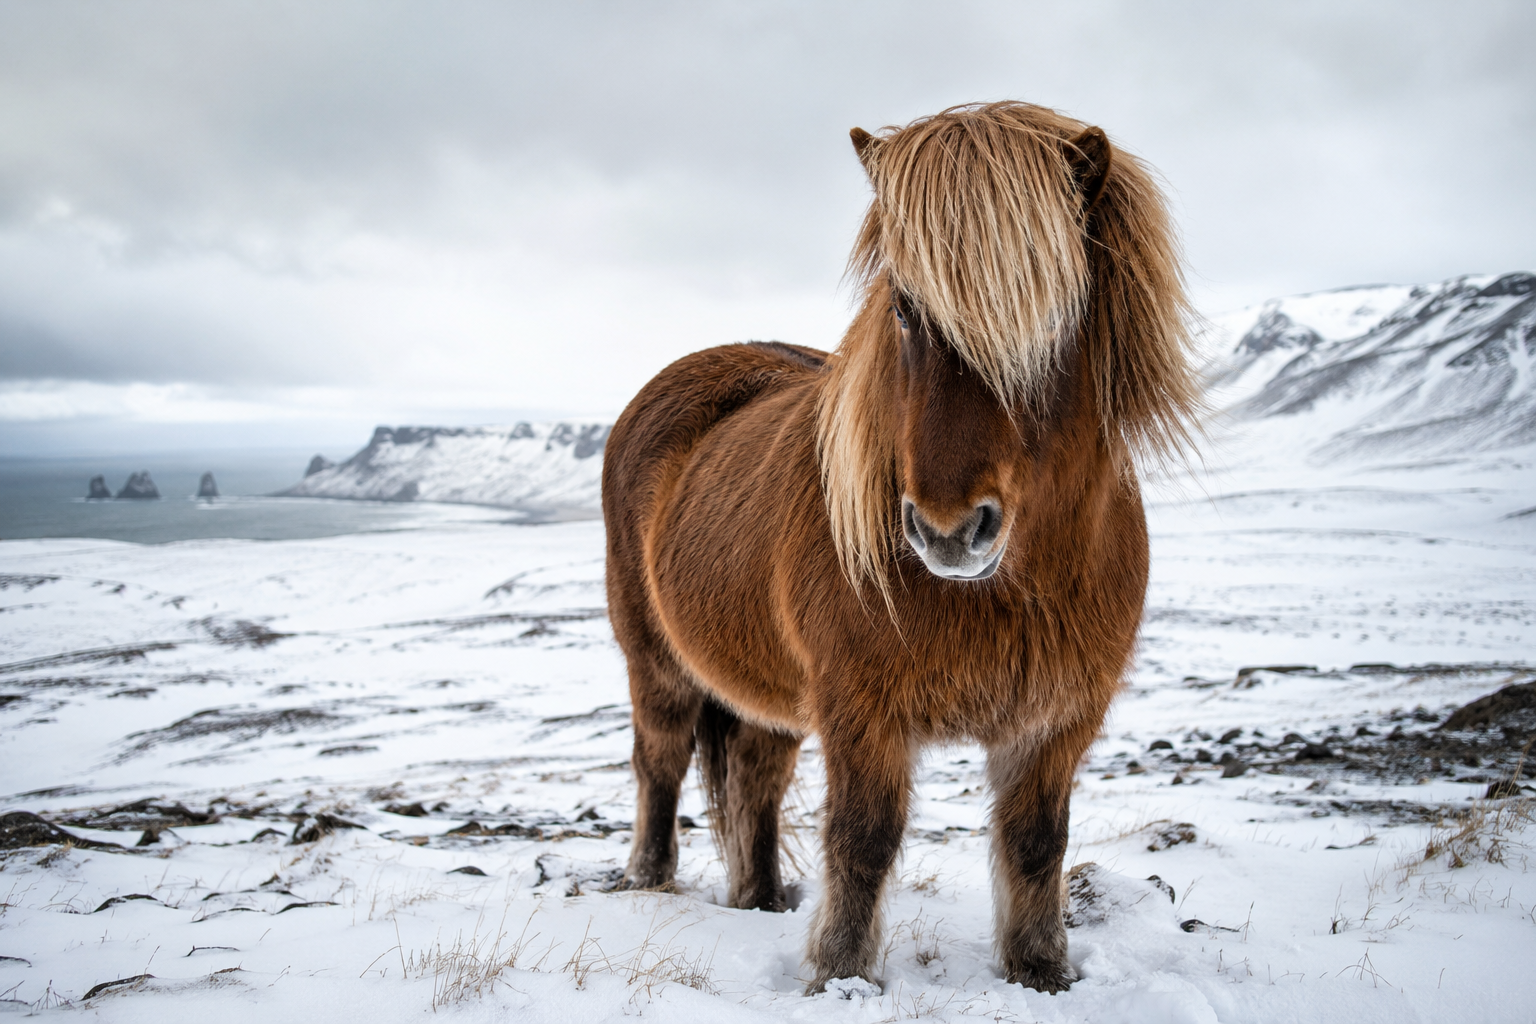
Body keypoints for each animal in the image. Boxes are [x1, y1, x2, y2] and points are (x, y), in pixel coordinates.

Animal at [601, 101, 1197, 994]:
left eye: (1055, 310)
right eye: (907, 308)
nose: (948, 530)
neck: (1014, 587)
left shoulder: (1055, 720)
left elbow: (1036, 843)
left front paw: (1040, 971)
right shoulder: (861, 710)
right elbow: (864, 839)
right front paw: (840, 978)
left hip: (770, 694)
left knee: (755, 782)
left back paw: (760, 899)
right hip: (657, 664)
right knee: (660, 765)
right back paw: (649, 883)